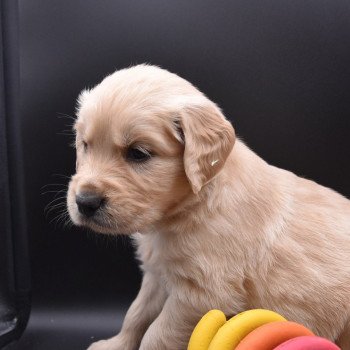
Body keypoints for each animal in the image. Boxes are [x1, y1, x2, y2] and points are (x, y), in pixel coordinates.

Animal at [67, 64, 350, 348]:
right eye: (85, 145)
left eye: (138, 153)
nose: (85, 202)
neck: (191, 206)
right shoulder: (157, 274)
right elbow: (136, 314)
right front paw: (115, 344)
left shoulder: (203, 294)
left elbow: (157, 334)